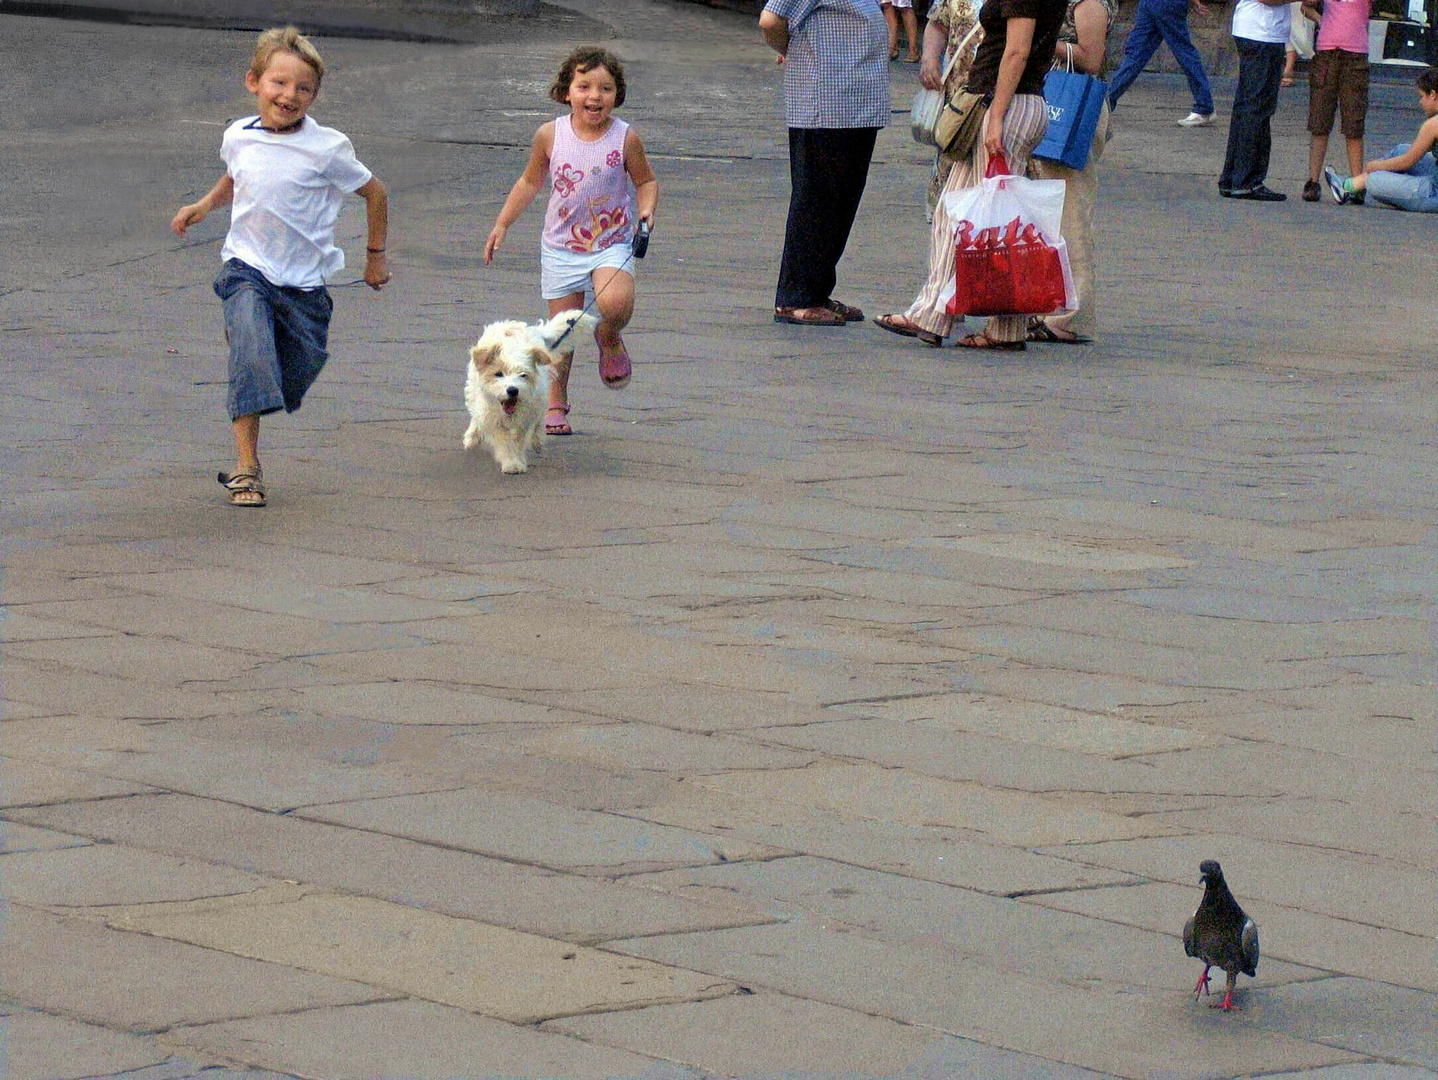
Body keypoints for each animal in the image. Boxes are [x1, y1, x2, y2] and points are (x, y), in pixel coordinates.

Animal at [460, 306, 595, 471]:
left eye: (523, 375)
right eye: (498, 374)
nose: (512, 390)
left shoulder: (525, 417)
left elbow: (519, 439)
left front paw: (516, 461)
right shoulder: (494, 417)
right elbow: (503, 440)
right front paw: (510, 463)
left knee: (539, 420)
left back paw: (537, 441)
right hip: (473, 388)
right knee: (475, 412)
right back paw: (471, 436)